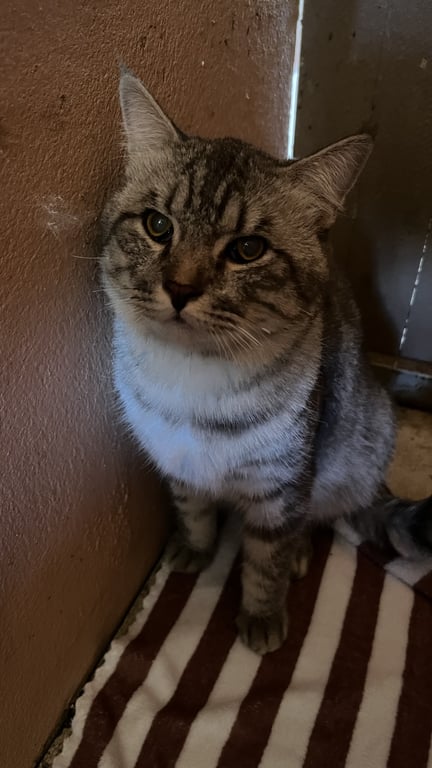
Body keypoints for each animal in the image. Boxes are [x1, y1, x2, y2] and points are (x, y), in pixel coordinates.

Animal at [101, 69, 432, 654]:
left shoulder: (284, 482)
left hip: (352, 450)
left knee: (319, 516)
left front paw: (261, 614)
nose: (180, 288)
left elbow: (266, 557)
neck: (193, 376)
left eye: (248, 249)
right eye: (158, 225)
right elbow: (193, 509)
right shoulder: (178, 461)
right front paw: (195, 547)